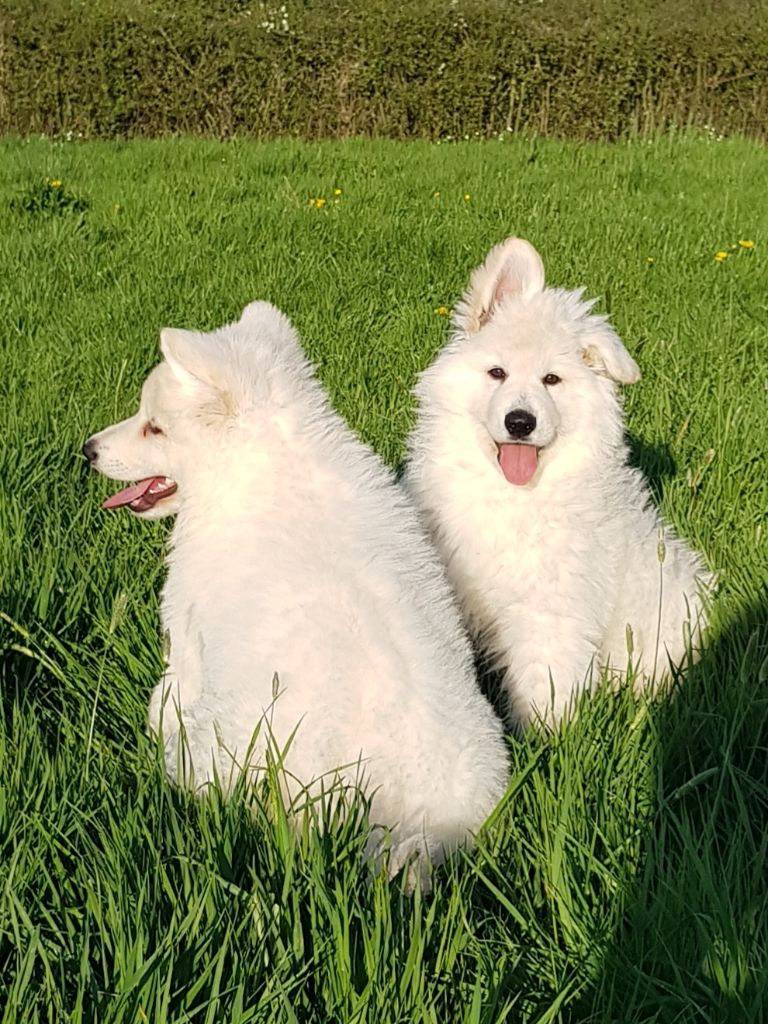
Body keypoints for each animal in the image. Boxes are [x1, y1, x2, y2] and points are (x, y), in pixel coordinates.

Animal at [83, 299, 507, 876]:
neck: (262, 461)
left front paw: (156, 719)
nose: (87, 450)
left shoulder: (189, 633)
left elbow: (169, 691)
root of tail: (405, 820)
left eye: (154, 428)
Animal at [405, 236, 712, 724]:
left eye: (552, 379)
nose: (520, 422)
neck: (510, 495)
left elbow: (543, 685)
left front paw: (544, 737)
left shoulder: (550, 614)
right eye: (497, 373)